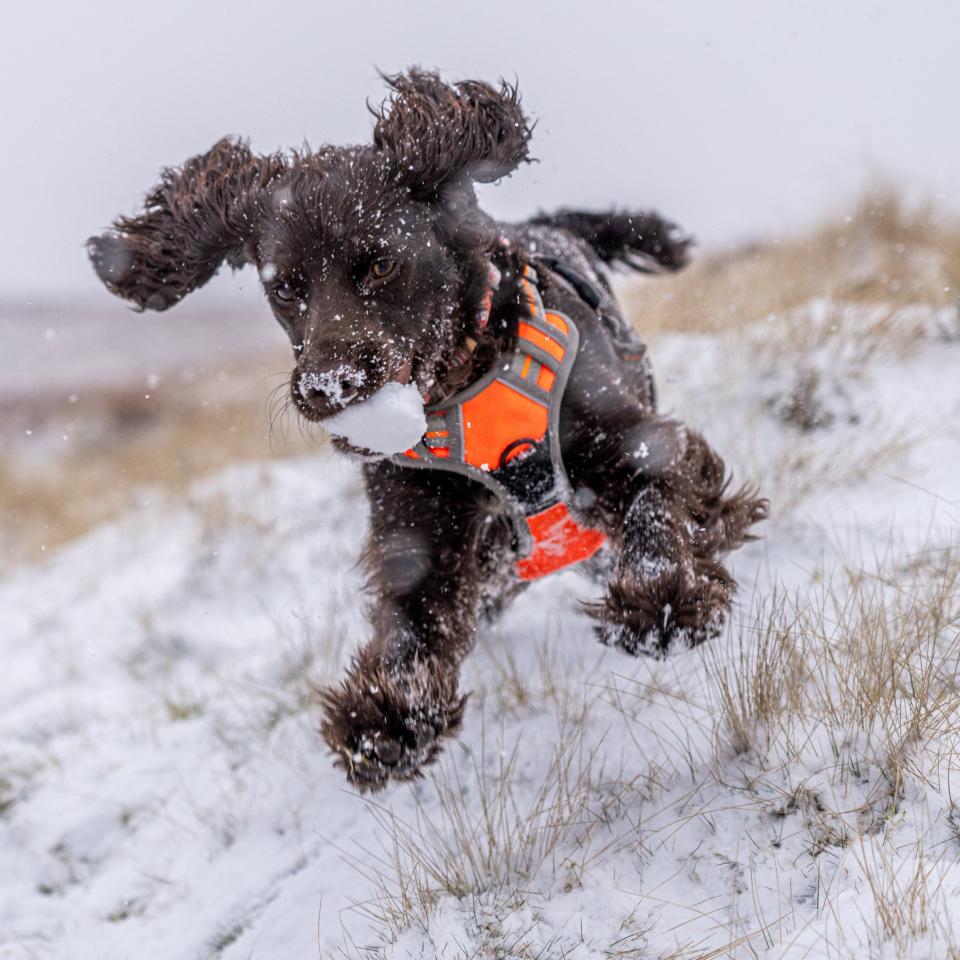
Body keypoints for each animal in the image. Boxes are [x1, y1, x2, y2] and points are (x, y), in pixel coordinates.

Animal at [88, 65, 764, 788]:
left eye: (381, 264)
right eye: (286, 288)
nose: (327, 386)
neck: (464, 379)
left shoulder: (631, 439)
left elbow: (656, 502)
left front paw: (662, 599)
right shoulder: (418, 521)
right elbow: (412, 621)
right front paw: (387, 722)